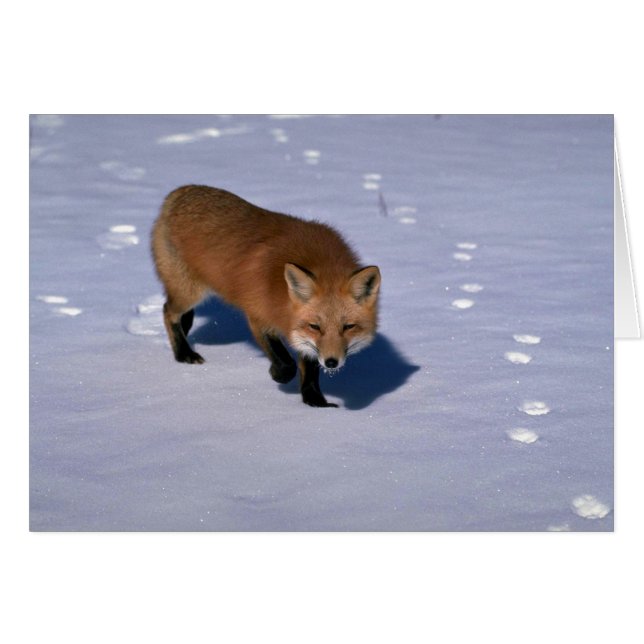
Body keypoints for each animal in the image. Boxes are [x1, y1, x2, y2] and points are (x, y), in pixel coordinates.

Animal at [151, 185, 381, 407]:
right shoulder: (258, 316)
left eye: (348, 327)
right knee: (167, 311)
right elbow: (287, 363)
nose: (331, 362)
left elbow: (309, 368)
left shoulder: (301, 335)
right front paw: (277, 375)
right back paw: (183, 353)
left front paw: (314, 401)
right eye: (315, 326)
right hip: (189, 292)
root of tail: (179, 191)